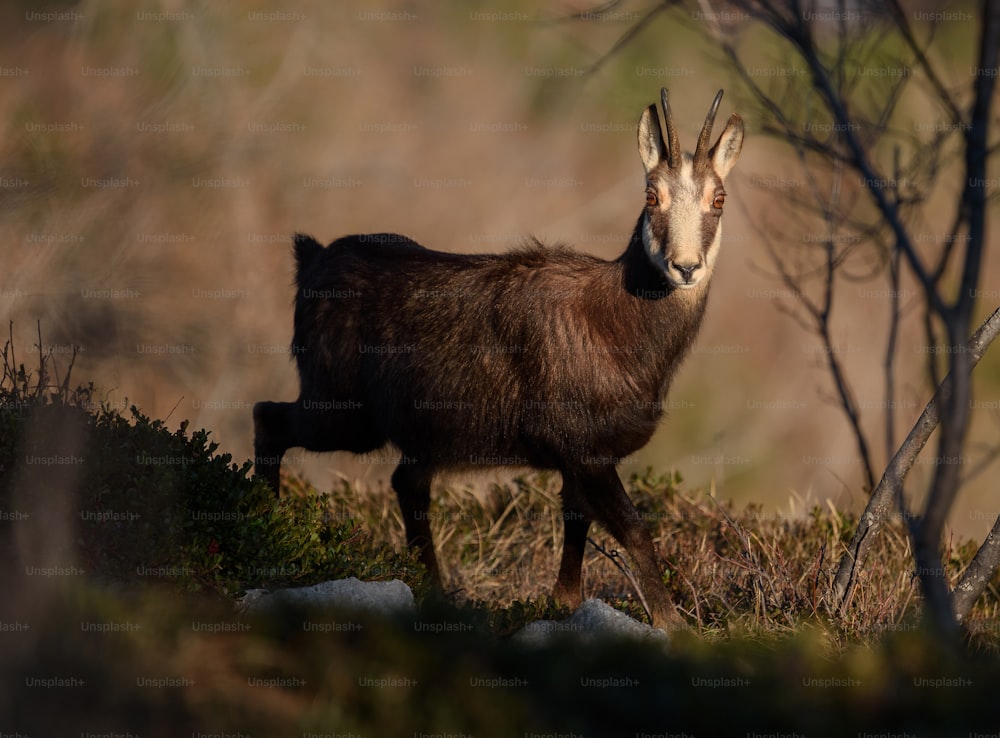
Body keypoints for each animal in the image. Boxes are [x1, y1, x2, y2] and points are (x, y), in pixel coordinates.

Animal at [254, 87, 744, 628]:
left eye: (719, 198)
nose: (685, 267)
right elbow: (634, 529)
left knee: (406, 482)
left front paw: (564, 603)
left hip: (414, 429)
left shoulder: (577, 458)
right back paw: (266, 527)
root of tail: (312, 260)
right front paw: (672, 624)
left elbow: (576, 526)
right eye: (651, 195)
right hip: (343, 412)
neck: (620, 325)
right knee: (269, 417)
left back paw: (434, 592)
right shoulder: (585, 449)